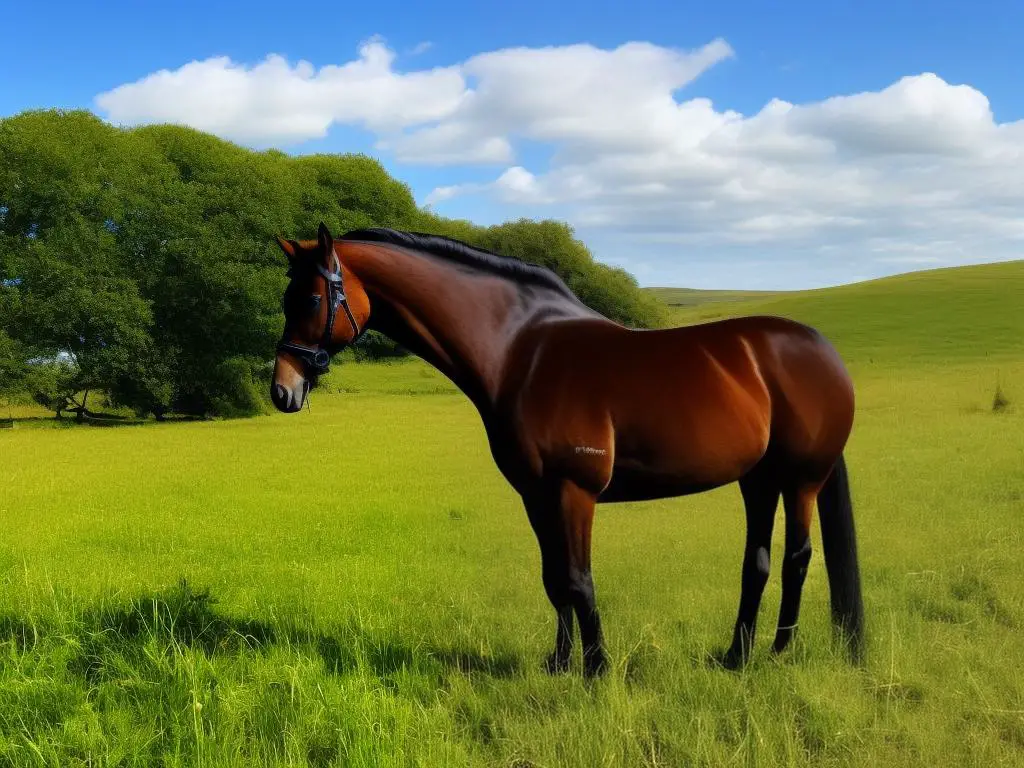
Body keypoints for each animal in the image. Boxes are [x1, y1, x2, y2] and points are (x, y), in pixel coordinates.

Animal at [272, 222, 864, 679]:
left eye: (312, 299)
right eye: (286, 299)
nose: (282, 390)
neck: (520, 350)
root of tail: (823, 351)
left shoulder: (573, 491)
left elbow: (579, 581)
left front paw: (597, 669)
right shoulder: (536, 495)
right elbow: (554, 578)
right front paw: (559, 664)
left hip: (802, 479)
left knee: (796, 558)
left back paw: (778, 653)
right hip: (757, 479)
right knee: (756, 562)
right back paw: (736, 657)